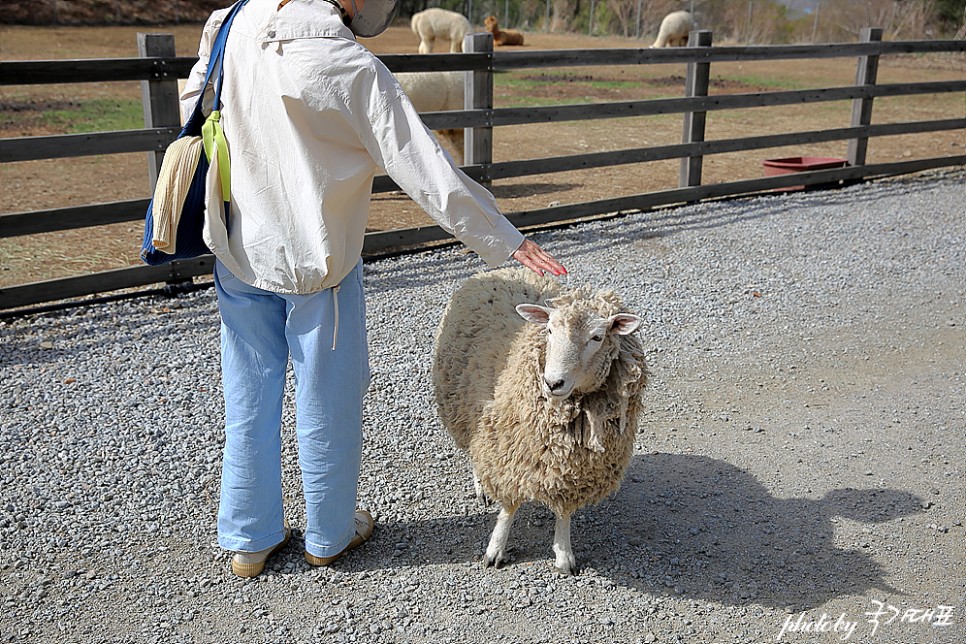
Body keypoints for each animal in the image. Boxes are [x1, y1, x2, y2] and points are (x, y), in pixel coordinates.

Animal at [432, 266, 652, 572]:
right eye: (549, 330)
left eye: (597, 337)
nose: (552, 382)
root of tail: (505, 268)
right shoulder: (509, 450)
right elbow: (509, 506)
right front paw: (495, 549)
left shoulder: (574, 470)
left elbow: (564, 510)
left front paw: (563, 553)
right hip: (465, 408)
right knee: (475, 448)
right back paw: (481, 488)